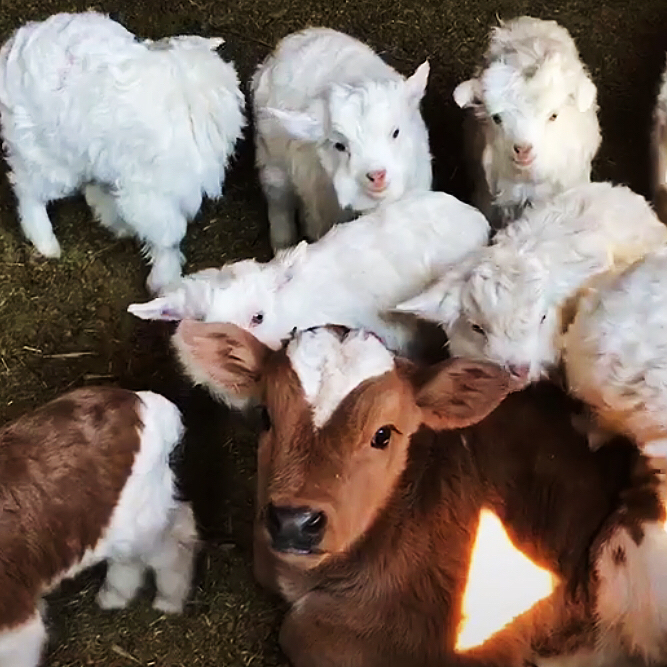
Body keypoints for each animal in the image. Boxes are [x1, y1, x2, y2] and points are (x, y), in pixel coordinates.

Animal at [0, 11, 246, 294]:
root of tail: (13, 49)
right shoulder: (152, 195)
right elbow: (169, 238)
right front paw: (164, 281)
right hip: (48, 159)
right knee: (28, 192)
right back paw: (47, 244)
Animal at [0, 386, 198, 667]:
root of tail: (140, 402)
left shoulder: (14, 623)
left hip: (137, 526)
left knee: (170, 547)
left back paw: (165, 601)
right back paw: (117, 597)